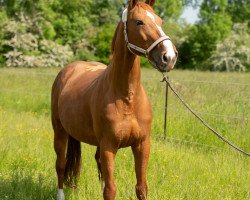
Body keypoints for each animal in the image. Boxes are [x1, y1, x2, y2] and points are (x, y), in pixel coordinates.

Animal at [50, 0, 177, 199]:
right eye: (139, 22)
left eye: (160, 21)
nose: (169, 57)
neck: (127, 98)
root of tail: (69, 69)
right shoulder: (109, 146)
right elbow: (110, 190)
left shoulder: (142, 145)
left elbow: (141, 187)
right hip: (60, 131)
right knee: (61, 164)